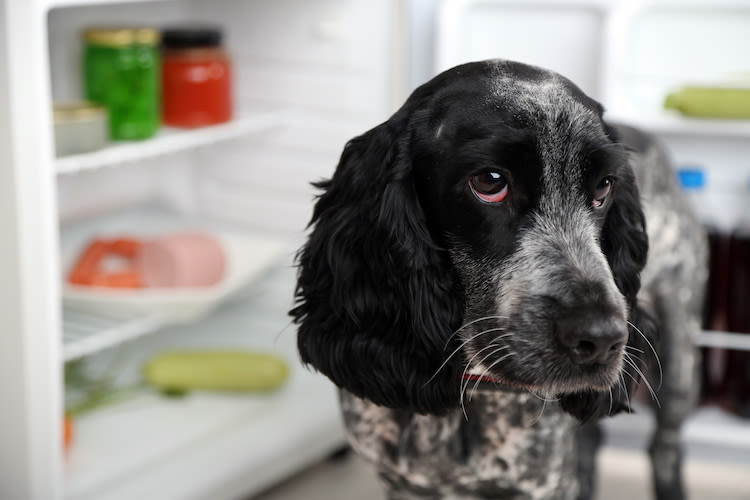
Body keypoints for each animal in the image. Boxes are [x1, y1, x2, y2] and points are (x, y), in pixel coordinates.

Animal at [290, 59, 708, 500]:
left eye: (604, 187)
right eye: (489, 181)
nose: (602, 339)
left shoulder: (541, 484)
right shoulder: (402, 485)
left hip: (679, 364)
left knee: (665, 445)